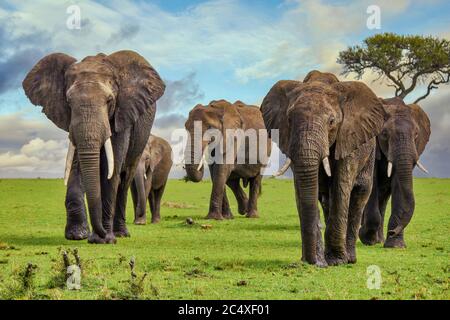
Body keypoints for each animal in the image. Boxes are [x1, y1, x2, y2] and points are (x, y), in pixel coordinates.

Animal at [21, 51, 165, 244]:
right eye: (68, 101)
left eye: (110, 100)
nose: (100, 234)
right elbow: (78, 166)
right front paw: (77, 235)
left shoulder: (122, 114)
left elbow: (111, 171)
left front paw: (104, 240)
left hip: (141, 141)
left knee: (125, 178)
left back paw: (120, 233)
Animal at [260, 70, 386, 268]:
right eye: (289, 119)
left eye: (332, 122)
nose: (311, 261)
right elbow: (302, 189)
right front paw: (318, 261)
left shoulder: (348, 138)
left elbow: (341, 187)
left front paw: (336, 261)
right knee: (326, 199)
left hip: (369, 153)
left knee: (359, 195)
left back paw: (350, 259)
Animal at [358, 97, 432, 248]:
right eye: (384, 134)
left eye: (416, 134)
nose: (393, 231)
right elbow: (372, 181)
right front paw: (366, 238)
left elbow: (399, 184)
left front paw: (395, 245)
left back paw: (379, 240)